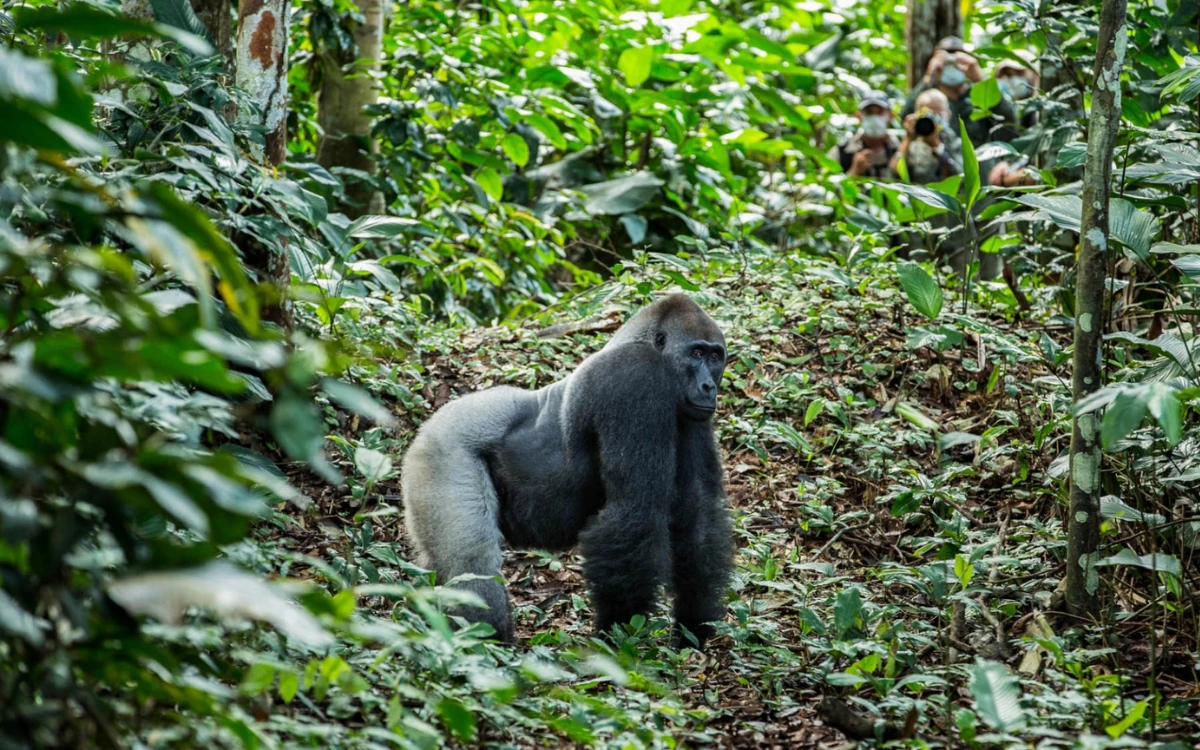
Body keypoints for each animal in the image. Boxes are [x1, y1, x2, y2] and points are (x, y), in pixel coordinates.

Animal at [400, 293, 734, 646]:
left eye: (715, 356)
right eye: (696, 353)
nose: (709, 387)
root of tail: (426, 427)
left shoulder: (691, 414)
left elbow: (697, 512)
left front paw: (694, 624)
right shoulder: (634, 379)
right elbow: (635, 510)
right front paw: (619, 635)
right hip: (442, 451)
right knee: (471, 562)